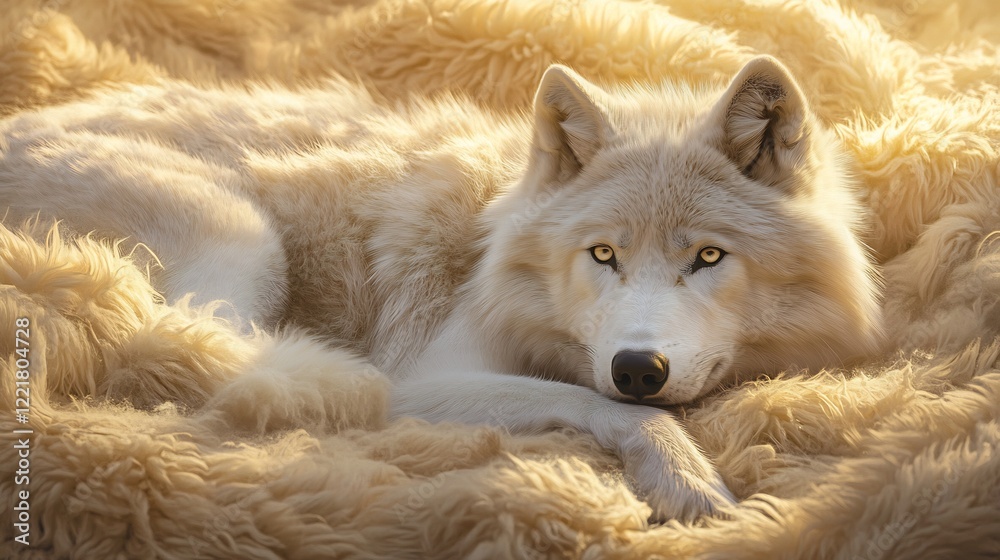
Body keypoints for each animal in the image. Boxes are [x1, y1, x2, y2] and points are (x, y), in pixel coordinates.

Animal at [0, 56, 883, 520]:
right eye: (602, 254)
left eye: (707, 257)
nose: (638, 366)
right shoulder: (426, 376)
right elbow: (617, 410)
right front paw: (691, 483)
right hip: (242, 236)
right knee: (212, 368)